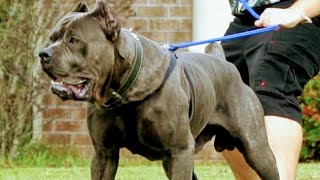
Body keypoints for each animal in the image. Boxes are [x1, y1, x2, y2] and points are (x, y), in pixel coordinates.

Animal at [38, 0, 278, 179]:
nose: (43, 54)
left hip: (256, 149)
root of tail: (225, 63)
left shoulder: (179, 152)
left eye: (74, 40)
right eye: (52, 38)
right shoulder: (104, 154)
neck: (124, 91)